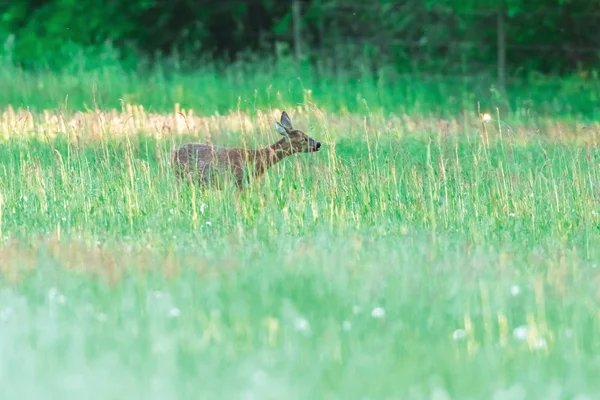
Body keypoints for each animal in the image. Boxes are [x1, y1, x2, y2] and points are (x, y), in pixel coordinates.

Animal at [171, 110, 322, 190]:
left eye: (307, 135)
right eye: (303, 139)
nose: (318, 144)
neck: (255, 160)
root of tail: (173, 153)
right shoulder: (238, 179)